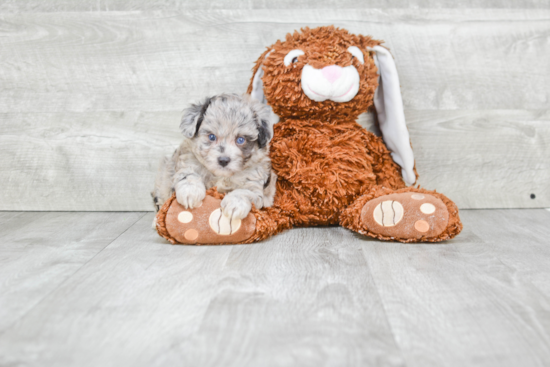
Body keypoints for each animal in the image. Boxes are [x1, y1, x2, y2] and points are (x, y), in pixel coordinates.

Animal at [152, 92, 278, 224]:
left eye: (240, 140)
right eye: (212, 137)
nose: (223, 160)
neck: (221, 176)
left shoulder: (255, 184)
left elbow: (246, 192)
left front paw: (235, 204)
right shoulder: (187, 161)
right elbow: (188, 175)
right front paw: (190, 191)